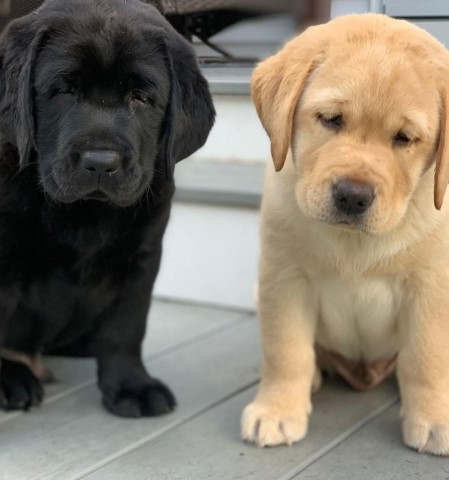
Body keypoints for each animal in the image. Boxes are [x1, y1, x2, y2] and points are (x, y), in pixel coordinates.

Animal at [0, 0, 215, 416]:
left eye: (141, 97)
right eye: (63, 90)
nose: (101, 162)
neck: (84, 214)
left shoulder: (140, 258)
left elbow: (125, 327)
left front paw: (132, 385)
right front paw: (7, 378)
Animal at [242, 14, 449, 458]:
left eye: (404, 138)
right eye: (331, 119)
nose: (353, 196)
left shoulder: (431, 285)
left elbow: (425, 357)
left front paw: (434, 419)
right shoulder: (283, 277)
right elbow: (286, 349)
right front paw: (277, 409)